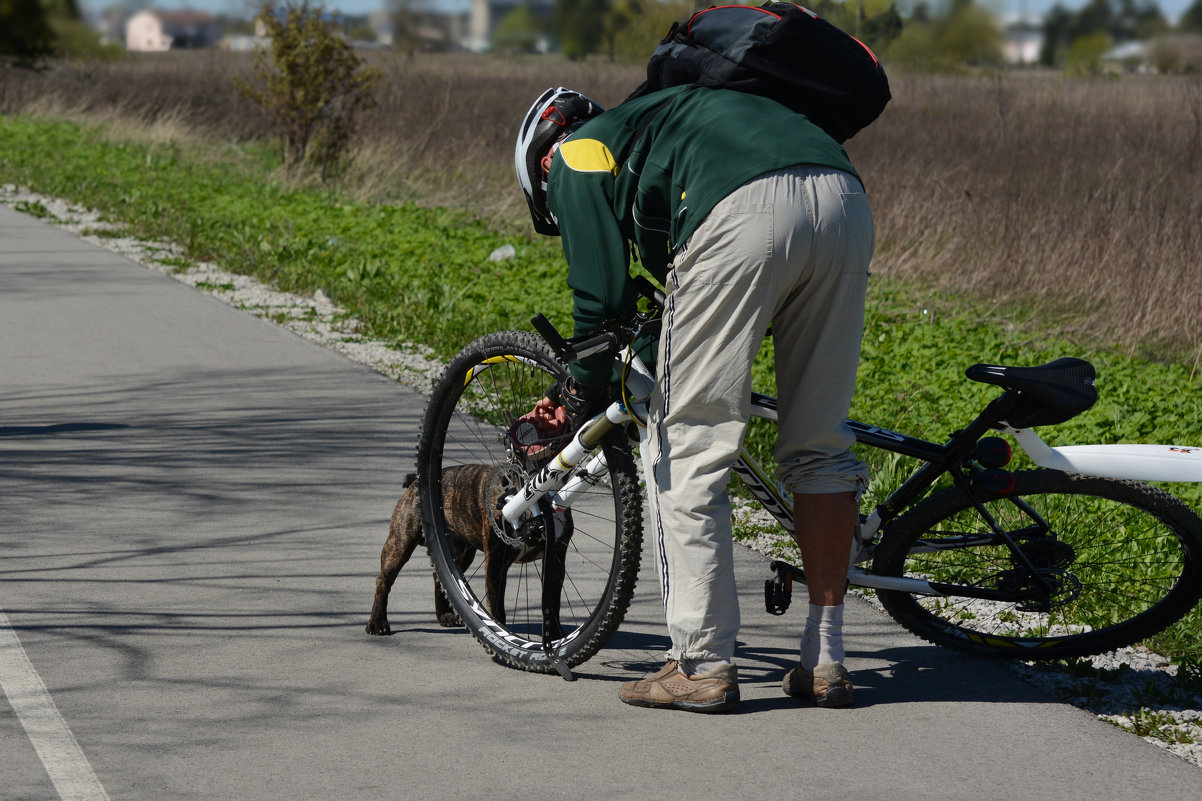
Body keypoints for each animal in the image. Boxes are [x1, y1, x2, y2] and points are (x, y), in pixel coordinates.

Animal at [360, 464, 540, 635]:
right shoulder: (496, 563)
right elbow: (496, 605)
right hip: (400, 543)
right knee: (384, 580)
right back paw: (377, 623)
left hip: (460, 555)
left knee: (438, 577)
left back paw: (445, 615)